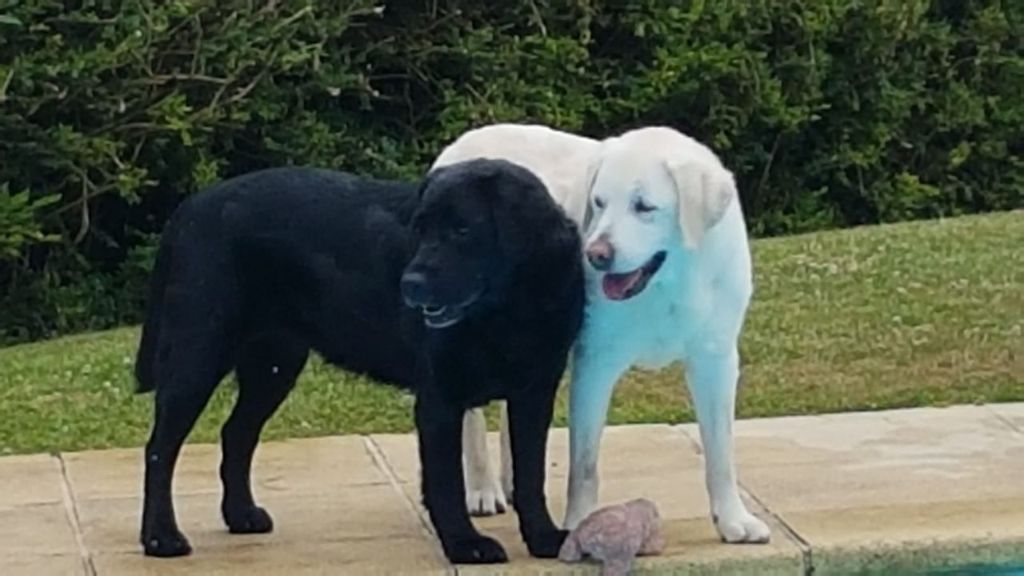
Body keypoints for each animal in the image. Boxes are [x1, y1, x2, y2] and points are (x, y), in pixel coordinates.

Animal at [135, 158, 585, 561]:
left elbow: (531, 474)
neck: (507, 312)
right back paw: (161, 538)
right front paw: (464, 544)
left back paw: (241, 515)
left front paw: (544, 538)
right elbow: (447, 482)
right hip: (196, 354)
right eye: (420, 230)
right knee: (160, 448)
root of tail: (189, 208)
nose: (410, 284)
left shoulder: (535, 393)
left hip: (273, 366)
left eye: (462, 229)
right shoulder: (439, 398)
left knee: (236, 434)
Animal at [430, 123, 770, 541]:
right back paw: (483, 490)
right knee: (472, 419)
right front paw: (579, 524)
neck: (670, 283)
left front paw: (734, 520)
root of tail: (461, 142)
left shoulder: (716, 359)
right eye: (599, 202)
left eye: (644, 206)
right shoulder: (596, 362)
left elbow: (721, 453)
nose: (595, 254)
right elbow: (584, 463)